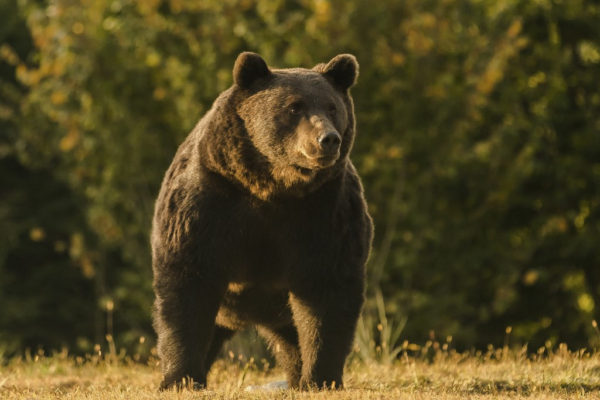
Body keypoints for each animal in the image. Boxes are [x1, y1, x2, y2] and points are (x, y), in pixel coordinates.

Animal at [151, 50, 370, 390]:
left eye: (332, 107)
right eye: (294, 106)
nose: (328, 139)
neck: (272, 186)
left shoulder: (325, 212)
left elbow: (327, 291)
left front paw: (321, 378)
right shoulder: (208, 201)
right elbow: (187, 284)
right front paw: (179, 378)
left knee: (292, 339)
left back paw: (296, 377)